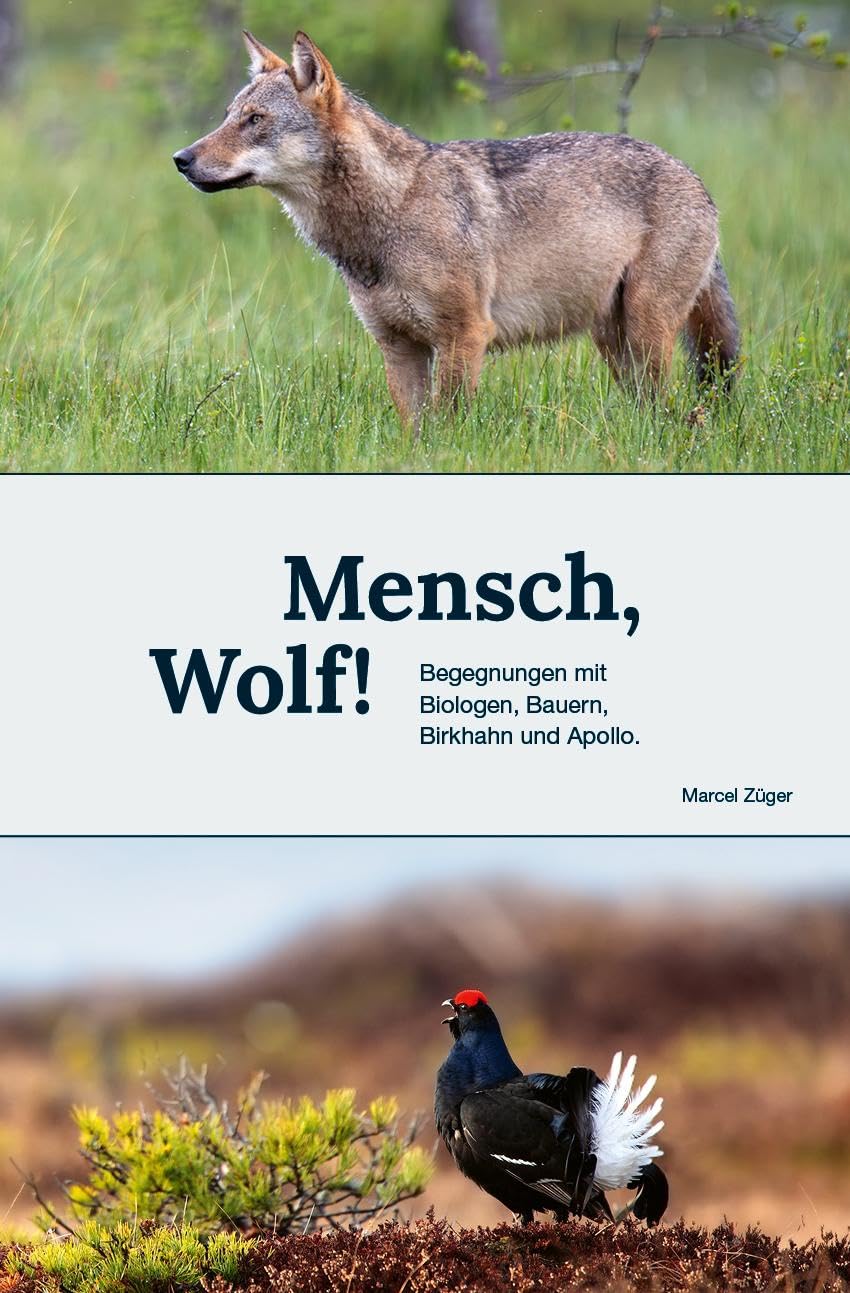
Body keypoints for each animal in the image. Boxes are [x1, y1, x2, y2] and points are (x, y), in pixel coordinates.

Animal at [173, 30, 739, 428]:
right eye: (228, 116)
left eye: (255, 120)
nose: (181, 159)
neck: (391, 212)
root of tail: (696, 178)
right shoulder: (398, 347)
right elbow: (416, 434)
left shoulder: (463, 337)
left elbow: (449, 430)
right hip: (615, 343)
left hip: (646, 332)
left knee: (673, 413)